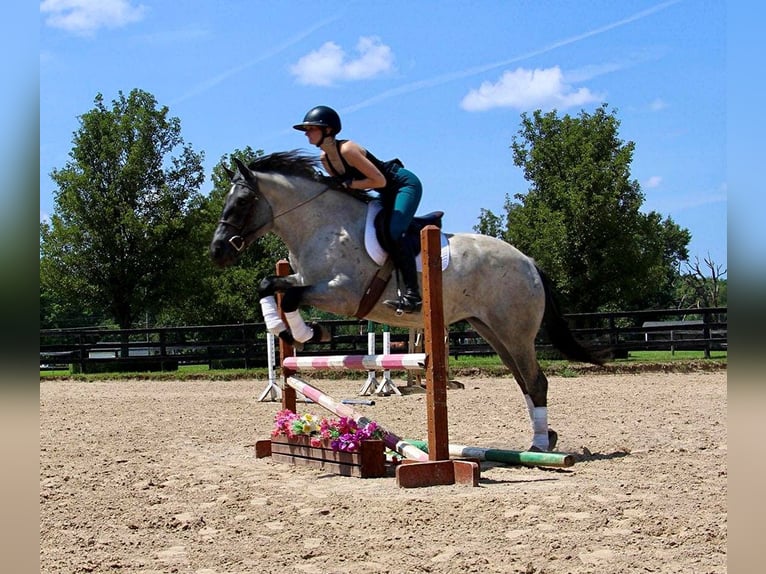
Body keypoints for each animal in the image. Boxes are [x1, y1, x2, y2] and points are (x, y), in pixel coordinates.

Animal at [208, 153, 608, 454]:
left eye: (241, 202)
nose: (217, 251)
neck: (321, 224)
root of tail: (528, 262)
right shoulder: (303, 278)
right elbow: (269, 284)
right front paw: (280, 326)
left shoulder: (342, 293)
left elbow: (291, 295)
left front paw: (309, 332)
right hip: (493, 331)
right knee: (524, 380)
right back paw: (544, 438)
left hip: (515, 332)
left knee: (536, 381)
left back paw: (540, 445)